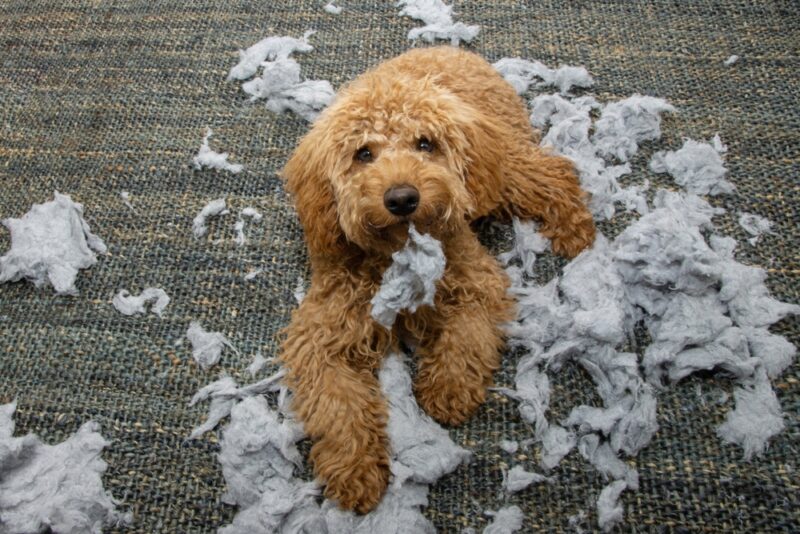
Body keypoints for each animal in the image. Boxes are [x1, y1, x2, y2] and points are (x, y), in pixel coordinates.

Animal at [280, 46, 592, 516]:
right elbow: (338, 406)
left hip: (504, 166)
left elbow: (467, 336)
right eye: (363, 153)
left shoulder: (477, 280)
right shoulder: (322, 333)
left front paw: (448, 388)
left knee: (555, 173)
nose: (402, 198)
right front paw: (355, 471)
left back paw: (576, 230)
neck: (397, 253)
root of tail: (451, 49)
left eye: (425, 144)